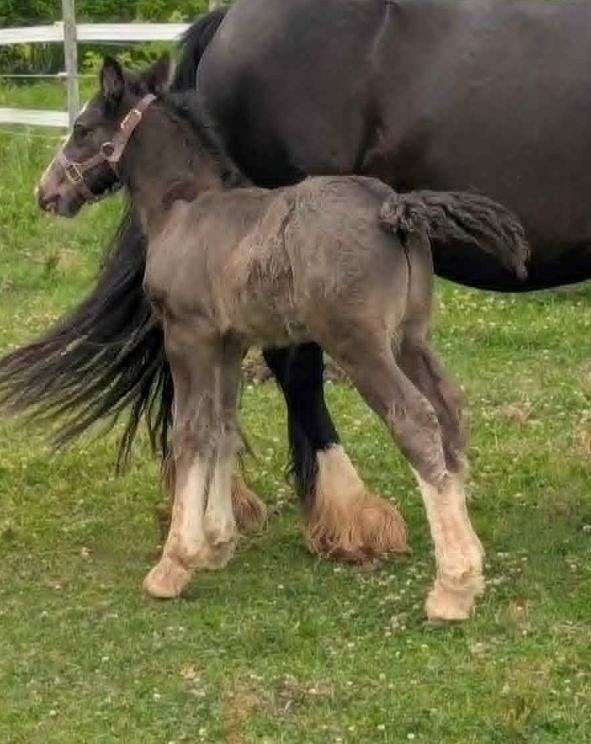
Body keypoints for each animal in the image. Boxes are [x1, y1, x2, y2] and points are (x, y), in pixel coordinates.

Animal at [23, 57, 529, 619]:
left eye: (82, 128)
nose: (47, 193)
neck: (183, 207)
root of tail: (391, 205)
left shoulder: (187, 335)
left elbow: (190, 431)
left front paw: (175, 562)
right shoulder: (228, 343)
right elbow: (223, 426)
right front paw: (219, 542)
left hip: (360, 346)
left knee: (415, 419)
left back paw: (452, 587)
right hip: (409, 338)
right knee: (447, 409)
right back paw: (472, 562)